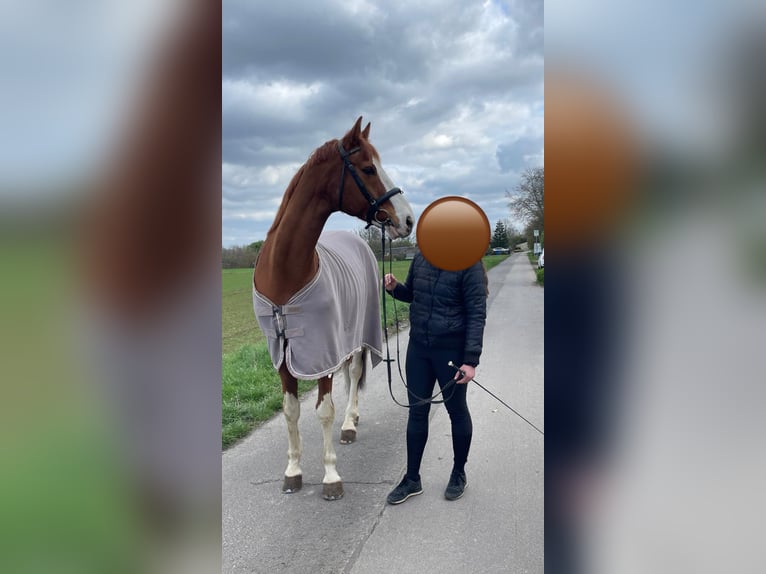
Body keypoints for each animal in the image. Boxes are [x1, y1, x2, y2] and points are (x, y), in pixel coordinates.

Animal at [253, 117, 414, 500]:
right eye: (368, 168)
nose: (408, 219)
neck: (286, 272)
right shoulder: (284, 356)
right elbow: (291, 411)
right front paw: (293, 471)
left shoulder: (321, 352)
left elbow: (324, 410)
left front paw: (330, 477)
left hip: (356, 336)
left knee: (354, 374)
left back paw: (350, 424)